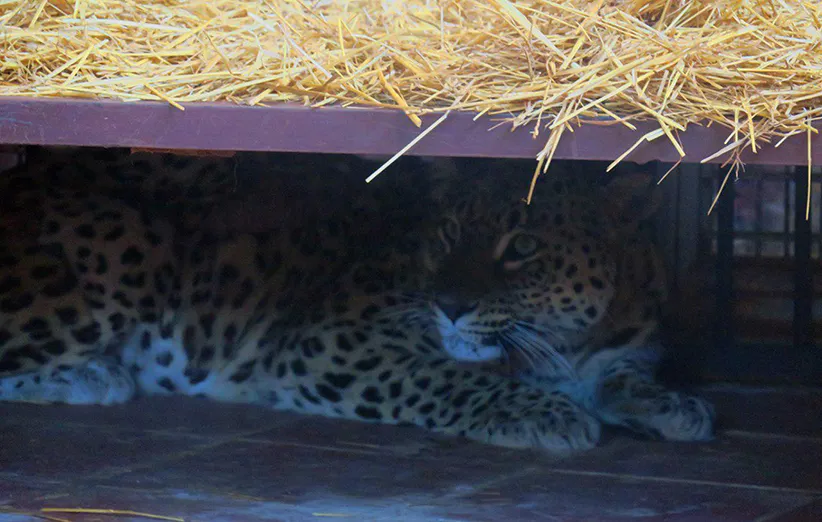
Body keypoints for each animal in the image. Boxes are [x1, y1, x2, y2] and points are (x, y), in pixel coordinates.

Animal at [0, 149, 714, 453]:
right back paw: (92, 376)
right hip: (135, 243)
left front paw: (674, 406)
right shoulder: (335, 345)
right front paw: (543, 414)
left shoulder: (614, 352)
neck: (568, 339)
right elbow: (449, 378)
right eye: (449, 233)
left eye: (524, 246)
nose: (448, 305)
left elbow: (624, 378)